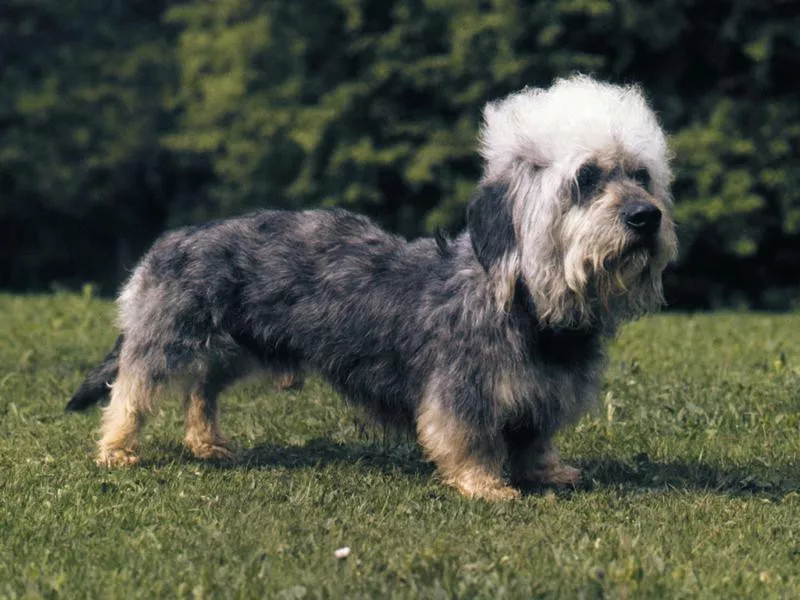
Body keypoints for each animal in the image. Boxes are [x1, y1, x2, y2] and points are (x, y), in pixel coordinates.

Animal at [67, 75, 676, 502]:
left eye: (641, 175)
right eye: (586, 179)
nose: (646, 218)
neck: (526, 302)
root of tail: (169, 241)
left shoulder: (541, 396)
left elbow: (535, 440)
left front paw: (547, 472)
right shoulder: (462, 390)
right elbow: (467, 438)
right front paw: (486, 485)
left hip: (237, 347)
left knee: (202, 389)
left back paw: (206, 443)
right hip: (166, 338)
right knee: (130, 389)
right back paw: (116, 450)